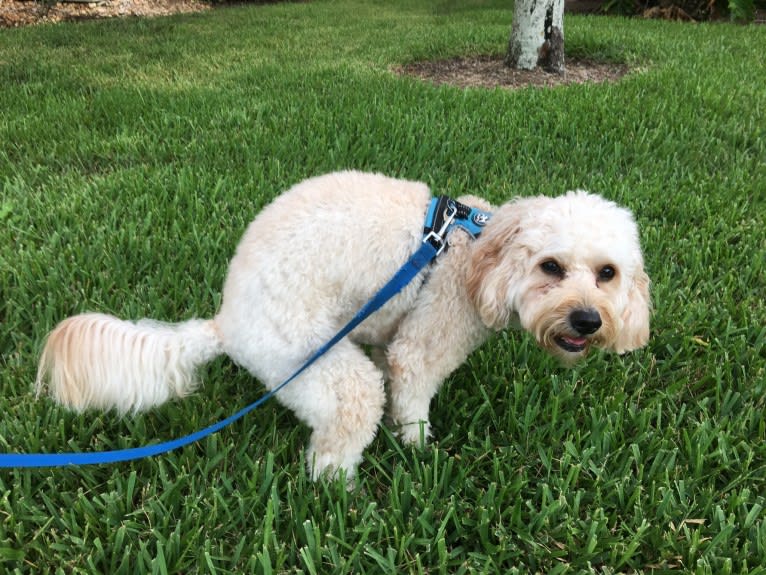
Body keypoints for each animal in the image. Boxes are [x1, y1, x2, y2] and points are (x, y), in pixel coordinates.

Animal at [33, 170, 652, 482]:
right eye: (550, 266)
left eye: (608, 273)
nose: (587, 320)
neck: (476, 251)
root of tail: (227, 321)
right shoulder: (424, 341)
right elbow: (412, 399)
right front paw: (419, 452)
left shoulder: (389, 332)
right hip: (316, 367)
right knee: (330, 451)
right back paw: (345, 497)